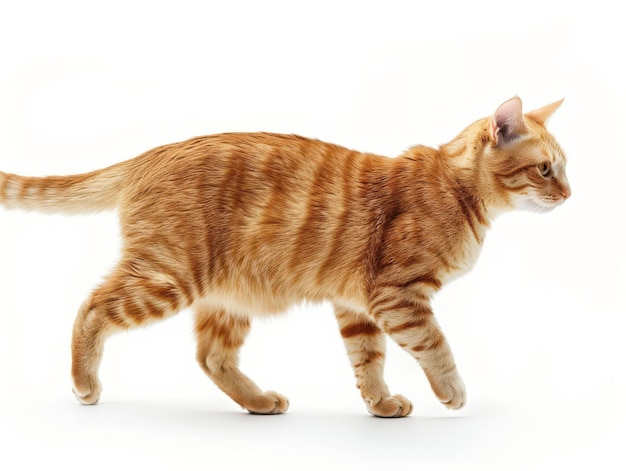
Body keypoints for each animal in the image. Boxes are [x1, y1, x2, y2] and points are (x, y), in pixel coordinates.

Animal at [0, 97, 568, 416]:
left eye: (562, 168)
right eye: (545, 169)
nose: (569, 194)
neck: (457, 189)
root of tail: (153, 153)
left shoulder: (360, 307)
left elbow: (368, 361)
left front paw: (380, 404)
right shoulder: (398, 297)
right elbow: (436, 346)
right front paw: (451, 391)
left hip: (226, 298)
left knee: (211, 357)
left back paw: (258, 402)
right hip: (167, 277)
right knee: (91, 308)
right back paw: (84, 383)